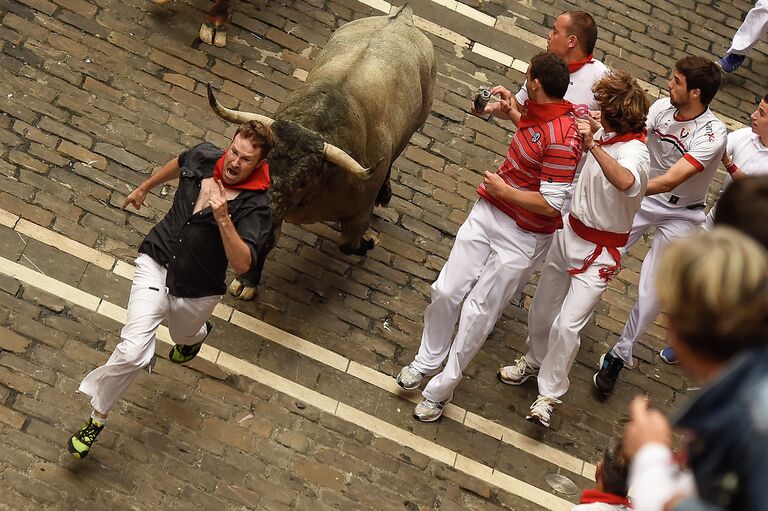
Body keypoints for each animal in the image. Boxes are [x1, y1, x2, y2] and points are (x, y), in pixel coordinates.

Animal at [208, 7, 438, 300]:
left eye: (303, 180)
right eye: (263, 166)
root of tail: (402, 16)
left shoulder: (357, 214)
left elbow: (349, 244)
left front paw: (369, 241)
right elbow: (267, 239)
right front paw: (247, 280)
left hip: (415, 124)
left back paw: (384, 194)